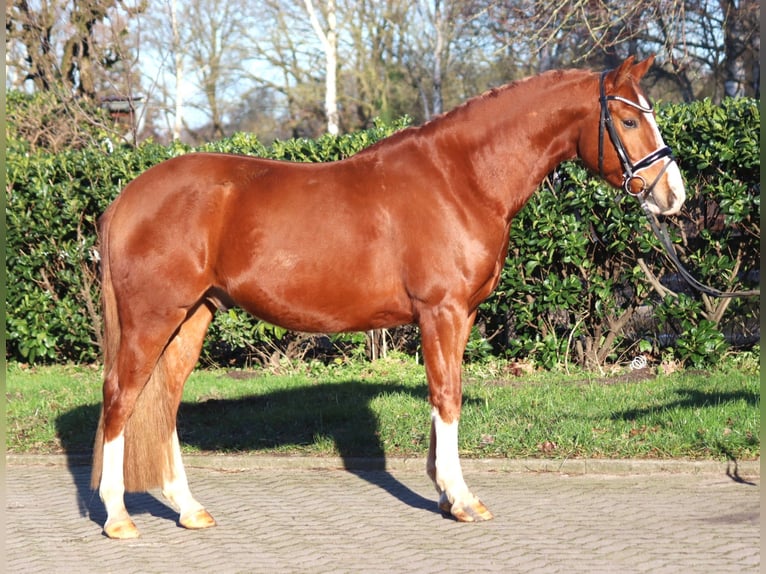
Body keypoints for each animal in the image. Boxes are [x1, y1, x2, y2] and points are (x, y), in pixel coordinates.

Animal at [91, 54, 688, 540]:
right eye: (629, 120)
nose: (673, 195)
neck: (460, 178)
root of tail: (128, 198)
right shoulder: (441, 311)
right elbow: (447, 396)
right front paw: (462, 499)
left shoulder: (459, 315)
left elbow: (443, 393)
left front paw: (444, 493)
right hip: (153, 316)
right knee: (122, 396)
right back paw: (118, 516)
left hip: (193, 316)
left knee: (163, 401)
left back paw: (188, 508)